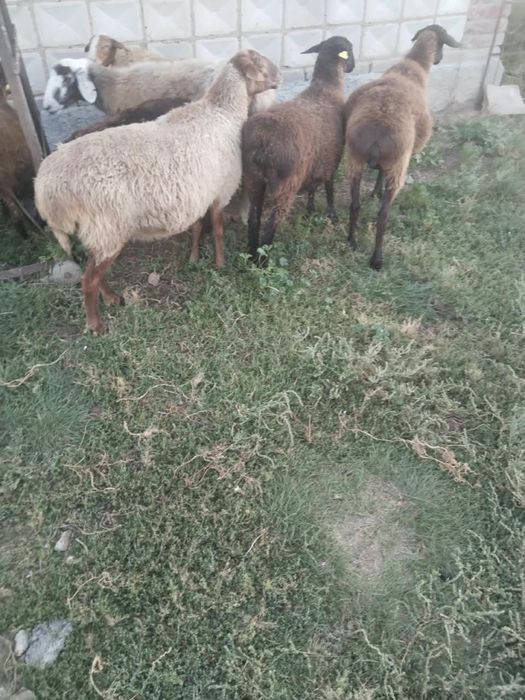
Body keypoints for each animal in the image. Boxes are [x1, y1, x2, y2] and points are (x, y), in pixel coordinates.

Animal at [35, 50, 280, 334]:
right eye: (261, 66)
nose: (279, 79)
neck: (222, 112)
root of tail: (45, 189)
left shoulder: (198, 192)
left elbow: (198, 227)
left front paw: (194, 257)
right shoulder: (220, 191)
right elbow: (218, 231)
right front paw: (220, 263)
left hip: (97, 233)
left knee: (94, 273)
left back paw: (111, 298)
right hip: (107, 227)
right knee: (88, 280)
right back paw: (96, 324)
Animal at [241, 36, 355, 263]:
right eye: (351, 50)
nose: (352, 66)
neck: (326, 88)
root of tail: (262, 141)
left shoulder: (316, 162)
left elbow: (313, 187)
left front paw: (310, 209)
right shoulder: (333, 158)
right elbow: (329, 187)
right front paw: (332, 214)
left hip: (253, 178)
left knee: (254, 219)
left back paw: (251, 255)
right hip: (286, 184)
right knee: (270, 225)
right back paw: (263, 262)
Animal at [344, 24, 460, 270]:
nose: (439, 59)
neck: (413, 65)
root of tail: (376, 136)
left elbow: (378, 174)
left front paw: (375, 191)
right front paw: (377, 192)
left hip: (355, 161)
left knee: (355, 205)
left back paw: (351, 241)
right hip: (398, 167)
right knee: (383, 215)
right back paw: (377, 259)